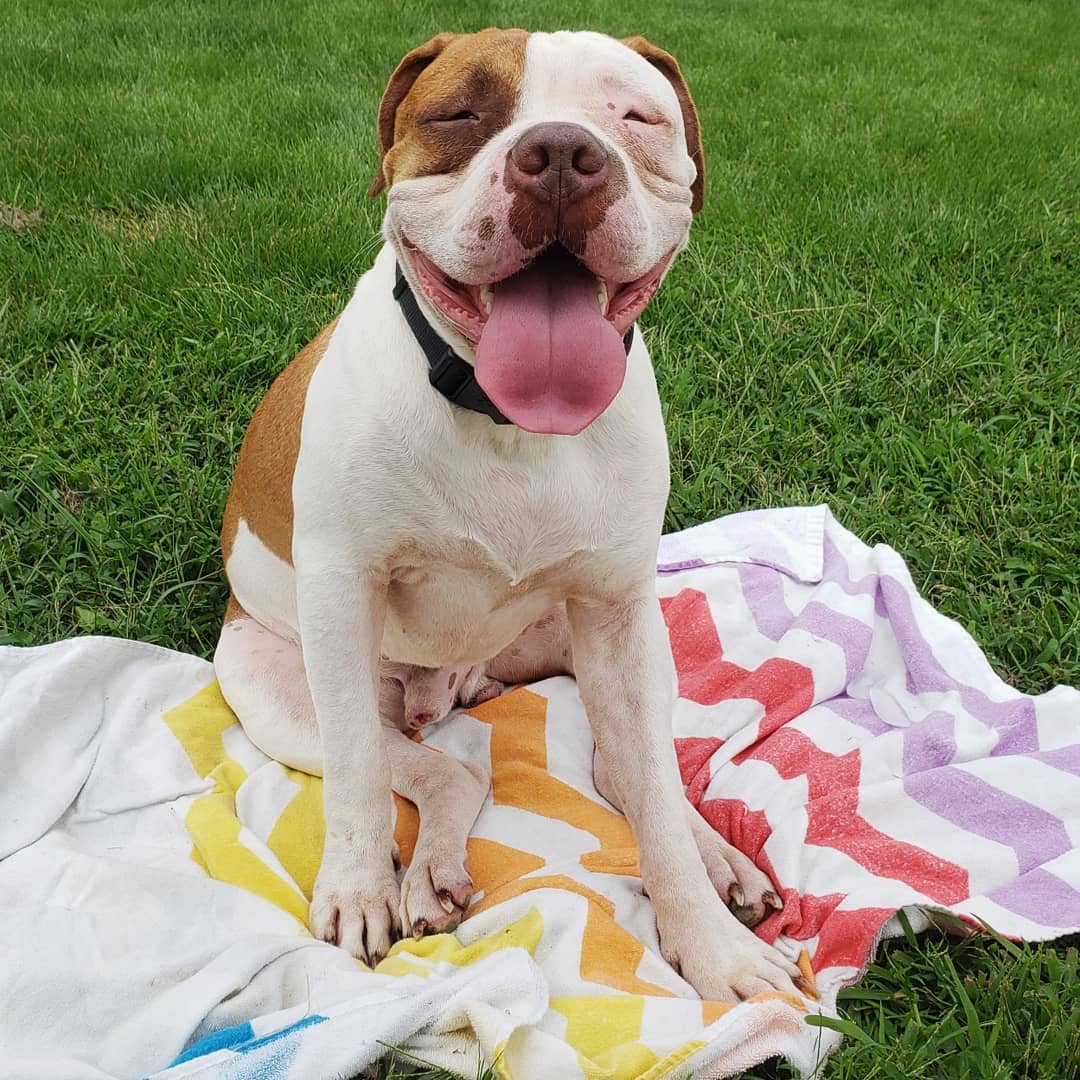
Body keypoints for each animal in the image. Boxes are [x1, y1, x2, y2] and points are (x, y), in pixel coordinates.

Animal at [212, 27, 803, 1002]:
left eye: (637, 117)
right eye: (460, 112)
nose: (560, 154)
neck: (508, 422)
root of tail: (460, 682)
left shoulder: (618, 613)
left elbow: (653, 796)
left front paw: (709, 945)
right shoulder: (339, 597)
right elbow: (357, 776)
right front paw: (357, 891)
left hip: (628, 644)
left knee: (628, 772)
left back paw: (715, 859)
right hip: (273, 690)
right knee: (440, 772)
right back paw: (426, 874)